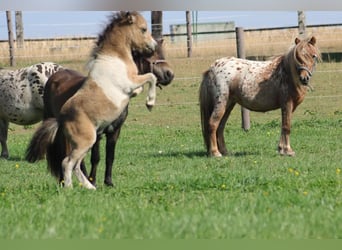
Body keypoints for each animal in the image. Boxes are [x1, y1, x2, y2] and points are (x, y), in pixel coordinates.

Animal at [40, 39, 174, 187]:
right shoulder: (97, 134)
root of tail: (55, 76)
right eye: (150, 55)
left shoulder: (114, 131)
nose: (169, 74)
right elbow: (96, 158)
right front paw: (93, 181)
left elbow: (110, 157)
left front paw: (108, 182)